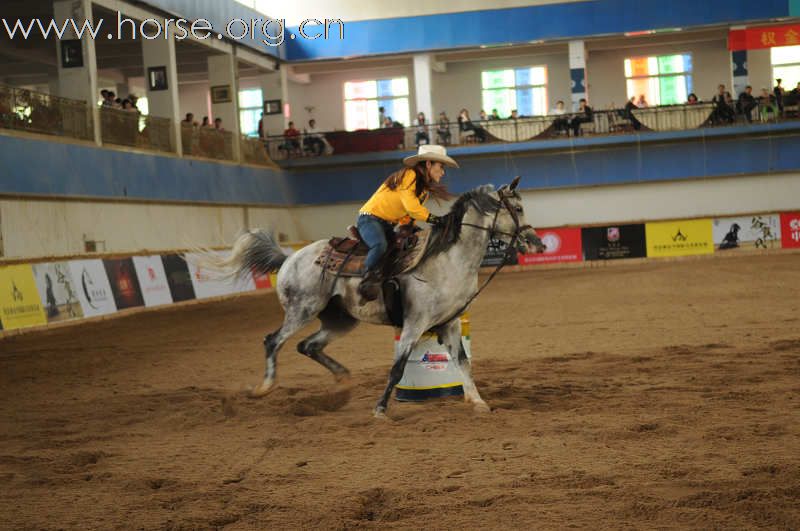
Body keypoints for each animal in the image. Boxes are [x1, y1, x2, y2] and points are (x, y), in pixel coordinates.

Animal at [203, 177, 548, 418]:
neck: (446, 260)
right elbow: (397, 368)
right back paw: (263, 388)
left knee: (308, 346)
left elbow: (463, 363)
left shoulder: (450, 323)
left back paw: (342, 383)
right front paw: (380, 409)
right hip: (301, 309)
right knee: (273, 341)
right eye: (517, 209)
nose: (538, 244)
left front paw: (478, 402)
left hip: (340, 320)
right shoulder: (414, 324)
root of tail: (289, 258)